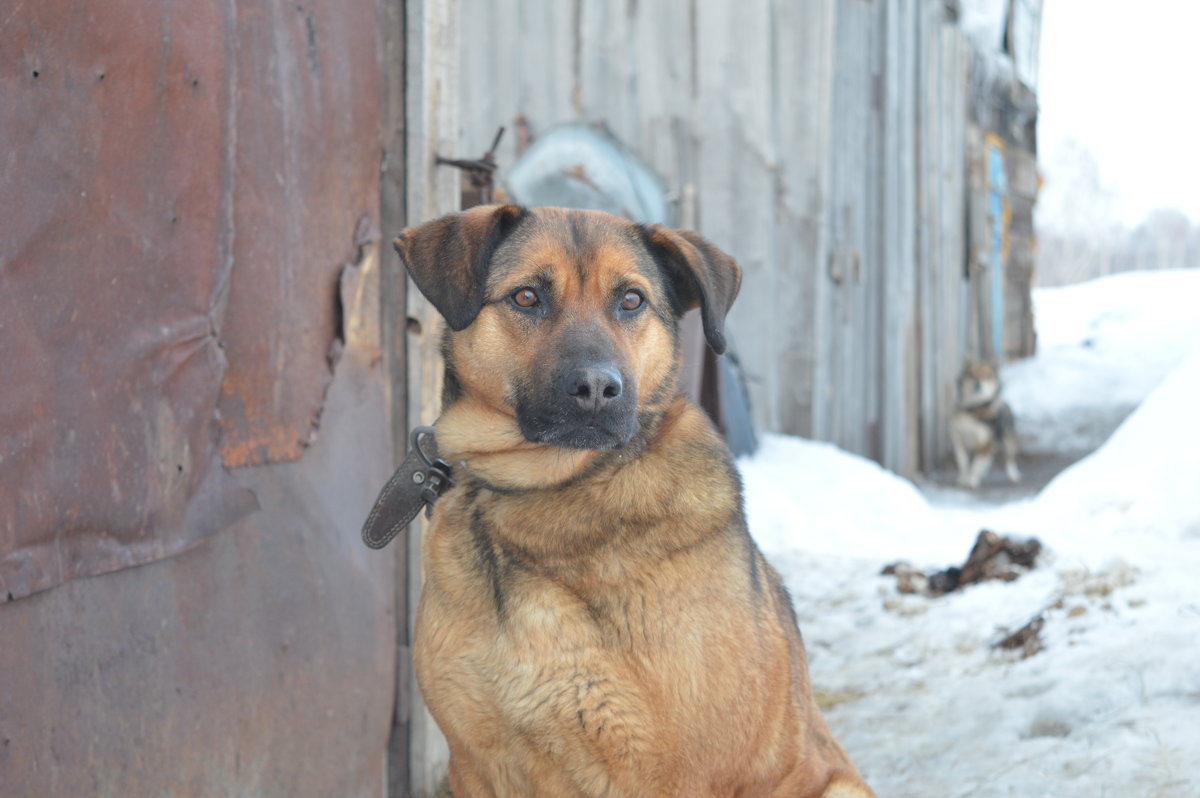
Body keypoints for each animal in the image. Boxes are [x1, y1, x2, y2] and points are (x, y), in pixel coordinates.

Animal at [393, 205, 873, 796]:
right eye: (526, 297)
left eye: (631, 300)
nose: (598, 389)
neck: (541, 489)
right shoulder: (474, 764)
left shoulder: (670, 774)